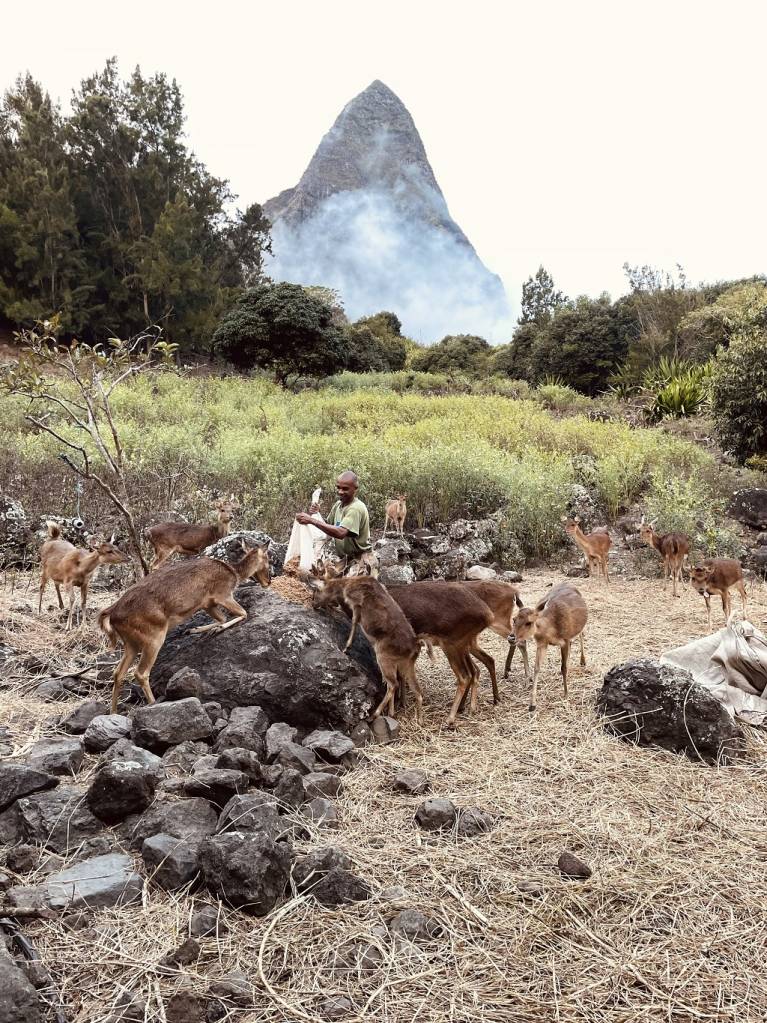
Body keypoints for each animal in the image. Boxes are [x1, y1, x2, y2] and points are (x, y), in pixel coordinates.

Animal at [99, 544, 272, 712]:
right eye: (268, 559)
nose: (268, 582)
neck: (234, 573)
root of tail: (112, 614)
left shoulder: (207, 603)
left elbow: (221, 618)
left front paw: (195, 629)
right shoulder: (222, 594)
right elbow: (243, 613)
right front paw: (216, 629)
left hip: (130, 642)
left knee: (118, 673)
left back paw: (113, 712)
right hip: (153, 636)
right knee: (140, 672)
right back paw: (153, 703)